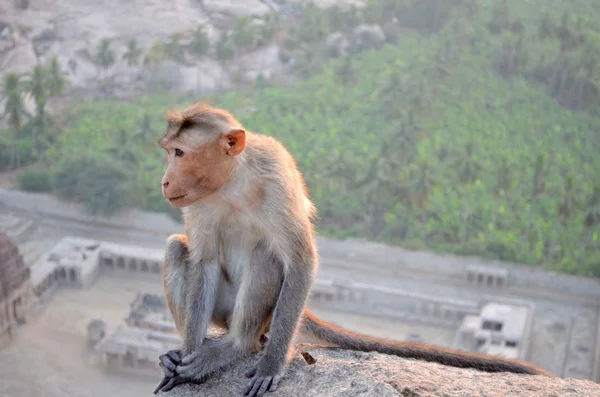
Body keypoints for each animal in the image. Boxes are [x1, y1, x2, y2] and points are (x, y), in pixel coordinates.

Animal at [151, 102, 552, 396]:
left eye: (180, 153)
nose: (165, 181)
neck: (231, 182)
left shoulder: (275, 176)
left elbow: (300, 260)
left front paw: (271, 364)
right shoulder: (197, 202)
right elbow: (204, 261)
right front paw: (187, 356)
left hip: (266, 315)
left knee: (268, 255)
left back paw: (238, 345)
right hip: (224, 310)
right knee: (177, 249)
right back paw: (192, 348)